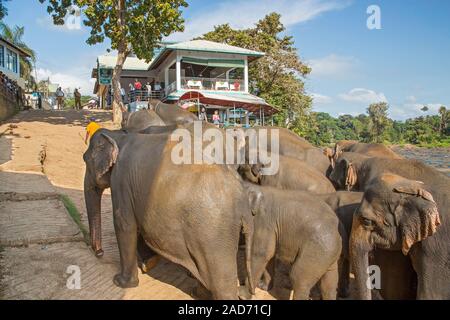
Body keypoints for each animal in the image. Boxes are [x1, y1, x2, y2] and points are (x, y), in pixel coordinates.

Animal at [83, 127, 253, 298]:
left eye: (85, 160)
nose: (99, 253)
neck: (119, 135)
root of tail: (243, 201)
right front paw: (147, 265)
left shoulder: (121, 180)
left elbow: (124, 224)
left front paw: (121, 282)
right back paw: (197, 293)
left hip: (214, 233)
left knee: (221, 280)